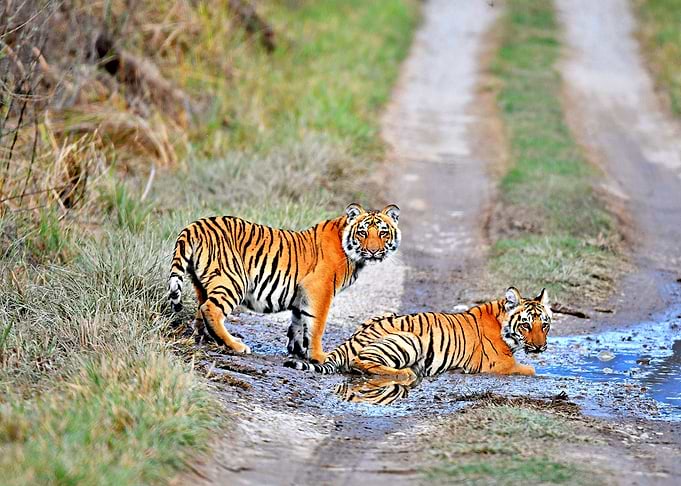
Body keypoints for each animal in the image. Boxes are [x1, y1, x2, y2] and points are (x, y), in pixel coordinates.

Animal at [167, 203, 401, 362]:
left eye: (383, 233)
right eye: (362, 232)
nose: (373, 251)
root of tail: (195, 225)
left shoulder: (302, 295)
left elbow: (298, 323)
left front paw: (298, 351)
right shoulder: (319, 290)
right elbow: (317, 325)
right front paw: (319, 356)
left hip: (202, 283)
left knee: (201, 309)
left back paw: (205, 337)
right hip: (233, 280)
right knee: (211, 309)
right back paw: (235, 345)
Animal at [284, 287, 551, 378]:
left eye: (545, 325)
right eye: (526, 325)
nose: (540, 347)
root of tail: (350, 341)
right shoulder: (500, 364)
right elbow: (530, 370)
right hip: (410, 339)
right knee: (361, 363)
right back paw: (406, 373)